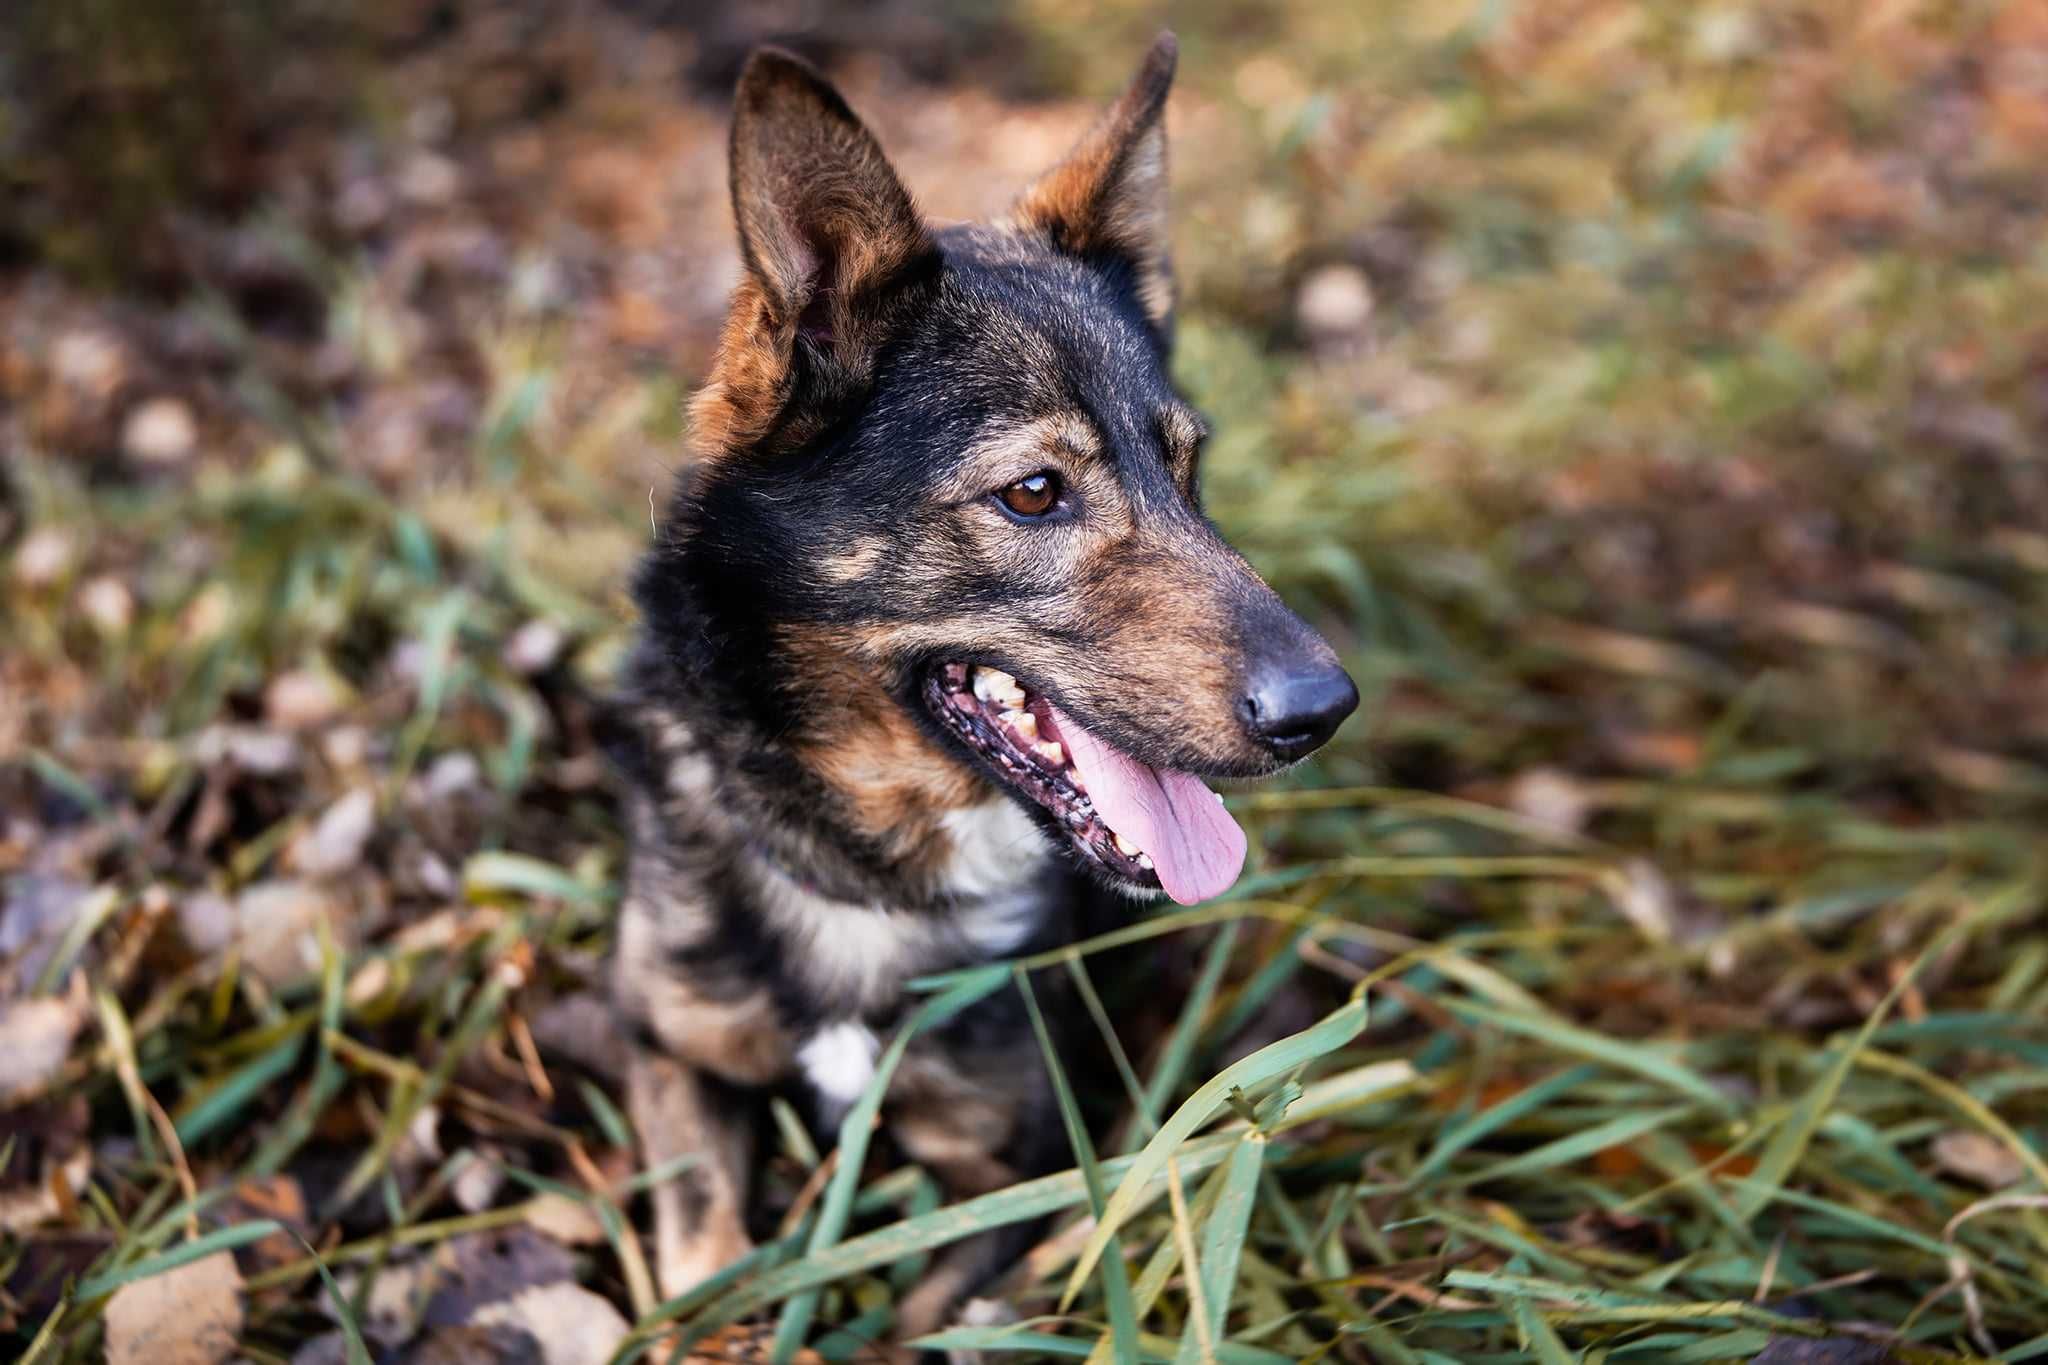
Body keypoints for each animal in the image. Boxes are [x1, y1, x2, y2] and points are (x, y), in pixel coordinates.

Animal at [606, 34, 1359, 1342]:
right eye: (1032, 493)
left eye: (1188, 470)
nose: (1322, 710)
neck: (876, 871)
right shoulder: (671, 1046)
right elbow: (699, 1248)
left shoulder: (1018, 1181)